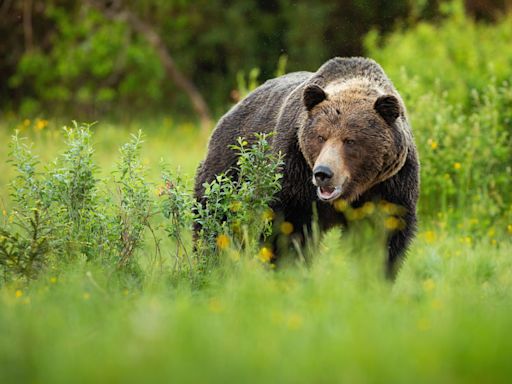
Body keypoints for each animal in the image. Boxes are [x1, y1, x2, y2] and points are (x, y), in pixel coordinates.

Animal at [194, 57, 418, 278]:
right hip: (229, 169)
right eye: (321, 137)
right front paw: (288, 270)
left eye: (350, 140)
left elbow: (382, 233)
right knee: (214, 219)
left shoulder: (389, 184)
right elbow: (290, 227)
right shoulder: (295, 171)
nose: (323, 173)